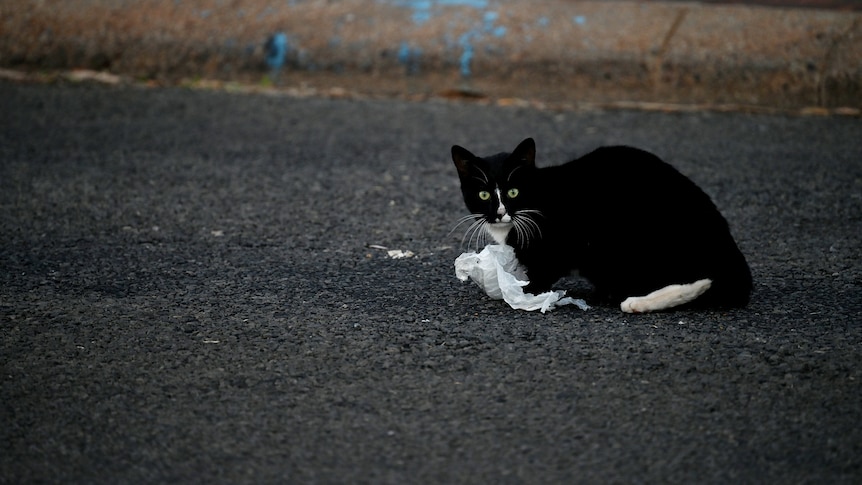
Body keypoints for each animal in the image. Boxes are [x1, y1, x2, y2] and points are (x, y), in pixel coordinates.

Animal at [456, 138, 752, 312]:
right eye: (483, 195)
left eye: (513, 191)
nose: (500, 213)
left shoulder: (562, 241)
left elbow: (545, 271)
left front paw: (525, 292)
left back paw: (631, 301)